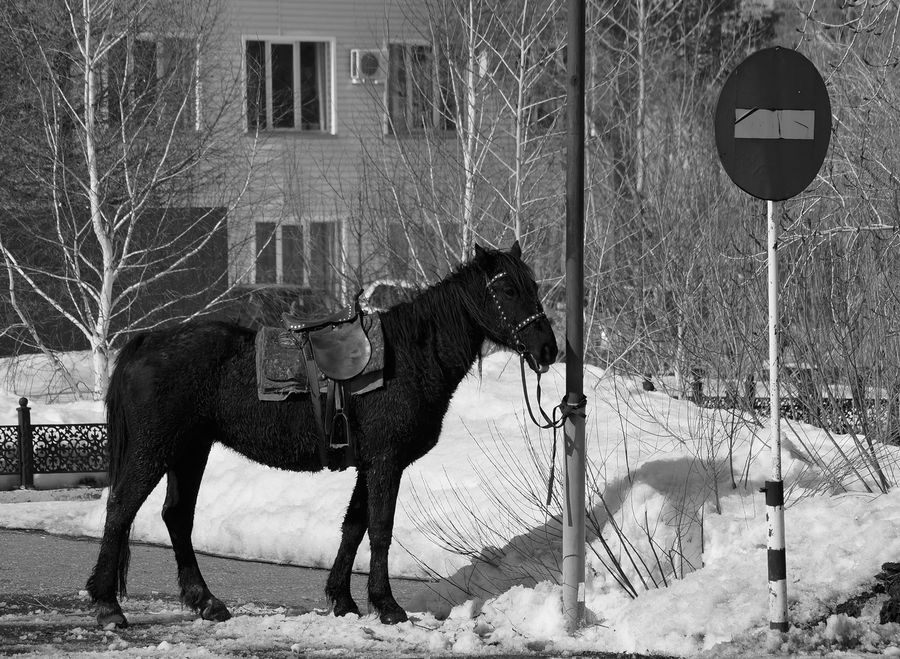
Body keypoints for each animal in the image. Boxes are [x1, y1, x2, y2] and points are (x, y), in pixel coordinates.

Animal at [88, 241, 560, 628]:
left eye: (532, 285)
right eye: (507, 290)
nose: (548, 349)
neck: (411, 356)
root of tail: (145, 342)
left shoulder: (368, 464)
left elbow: (354, 526)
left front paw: (343, 600)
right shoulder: (386, 462)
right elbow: (380, 529)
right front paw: (387, 605)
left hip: (190, 450)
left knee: (177, 517)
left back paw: (206, 602)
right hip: (154, 449)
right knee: (121, 509)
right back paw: (109, 606)